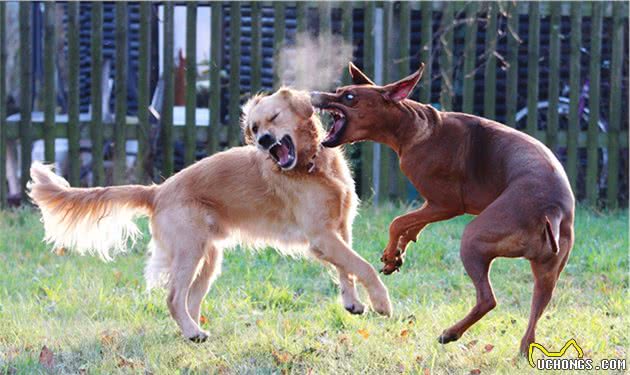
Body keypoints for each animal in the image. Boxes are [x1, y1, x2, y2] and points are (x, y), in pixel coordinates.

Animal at [30, 88, 396, 344]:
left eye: (275, 117)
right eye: (254, 128)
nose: (264, 141)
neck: (312, 166)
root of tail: (157, 191)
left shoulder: (338, 231)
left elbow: (347, 269)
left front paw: (352, 302)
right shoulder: (321, 235)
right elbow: (363, 266)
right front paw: (382, 303)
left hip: (209, 258)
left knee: (190, 300)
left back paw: (191, 332)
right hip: (190, 251)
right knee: (174, 297)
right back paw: (193, 332)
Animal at [312, 62, 576, 356]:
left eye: (349, 97)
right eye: (338, 91)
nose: (313, 95)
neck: (413, 126)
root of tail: (551, 210)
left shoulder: (447, 204)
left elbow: (398, 222)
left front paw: (392, 252)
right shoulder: (432, 205)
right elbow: (411, 226)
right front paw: (396, 255)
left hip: (474, 239)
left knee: (488, 300)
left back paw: (450, 333)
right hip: (547, 273)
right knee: (534, 314)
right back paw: (520, 350)